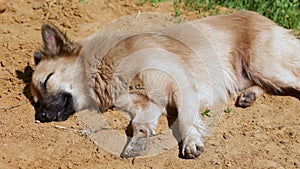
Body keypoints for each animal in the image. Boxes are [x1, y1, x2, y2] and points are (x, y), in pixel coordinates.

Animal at [31, 11, 300, 159]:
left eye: (47, 81)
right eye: (35, 100)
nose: (40, 117)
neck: (104, 66)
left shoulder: (181, 86)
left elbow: (185, 119)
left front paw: (191, 142)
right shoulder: (146, 105)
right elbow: (139, 125)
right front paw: (137, 143)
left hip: (265, 65)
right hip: (256, 71)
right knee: (263, 85)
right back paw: (248, 96)